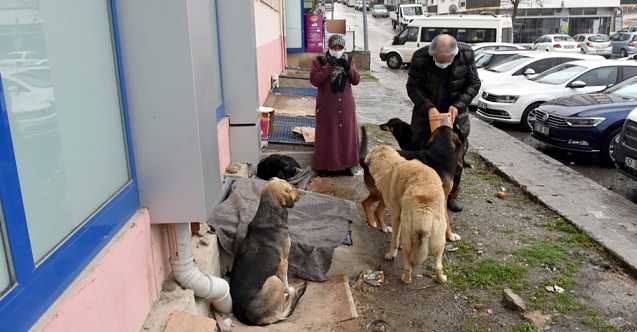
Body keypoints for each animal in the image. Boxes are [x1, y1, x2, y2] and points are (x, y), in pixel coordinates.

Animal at [230, 178, 306, 326]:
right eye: (291, 188)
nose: (300, 193)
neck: (269, 213)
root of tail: (250, 319)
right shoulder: (283, 262)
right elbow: (286, 281)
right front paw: (289, 289)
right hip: (273, 281)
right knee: (284, 304)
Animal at [362, 144, 448, 284]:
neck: (392, 165)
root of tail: (425, 207)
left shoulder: (397, 216)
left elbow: (395, 239)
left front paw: (392, 253)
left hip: (410, 234)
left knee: (408, 263)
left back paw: (406, 278)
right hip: (439, 239)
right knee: (438, 264)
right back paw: (441, 278)